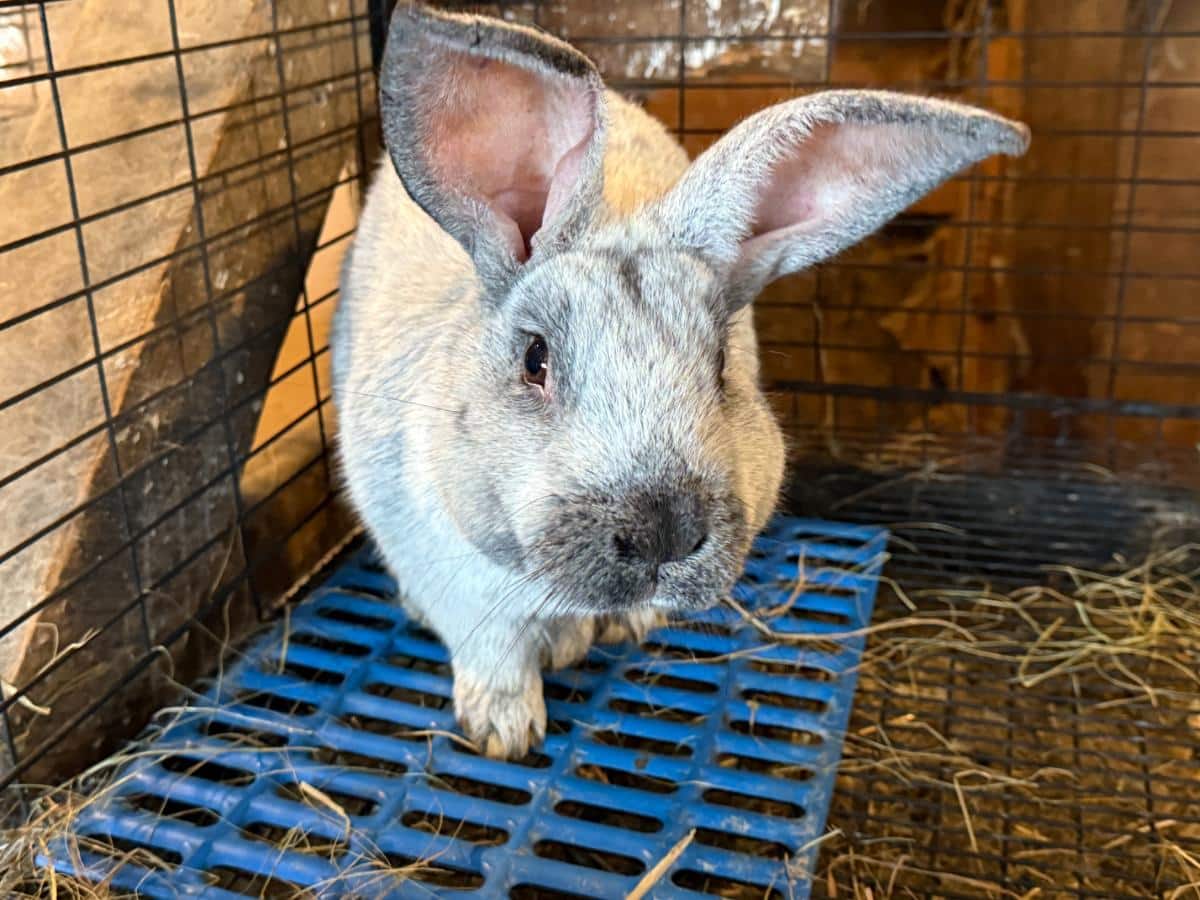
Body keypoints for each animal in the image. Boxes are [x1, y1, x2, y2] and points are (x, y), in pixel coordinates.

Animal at [331, 3, 1029, 758]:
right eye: (535, 360)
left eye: (722, 363)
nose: (663, 531)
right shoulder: (457, 589)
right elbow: (498, 660)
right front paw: (504, 734)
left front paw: (609, 632)